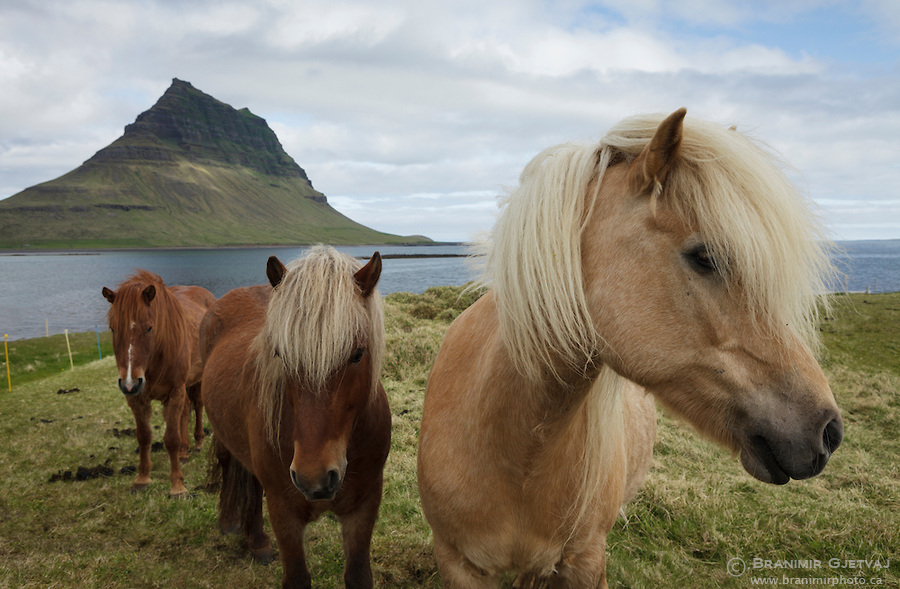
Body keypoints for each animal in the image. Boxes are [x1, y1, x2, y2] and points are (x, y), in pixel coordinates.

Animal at [103, 272, 215, 496]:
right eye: (112, 328)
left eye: (149, 328)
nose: (129, 383)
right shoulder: (137, 399)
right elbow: (144, 436)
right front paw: (142, 478)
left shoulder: (175, 392)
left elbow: (171, 438)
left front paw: (177, 486)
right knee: (185, 411)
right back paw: (184, 451)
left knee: (198, 405)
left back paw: (197, 442)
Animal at [202, 246, 392, 584]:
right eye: (280, 354)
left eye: (357, 354)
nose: (313, 477)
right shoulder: (284, 514)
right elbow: (297, 578)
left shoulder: (364, 508)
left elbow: (358, 576)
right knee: (228, 466)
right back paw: (233, 525)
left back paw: (257, 541)